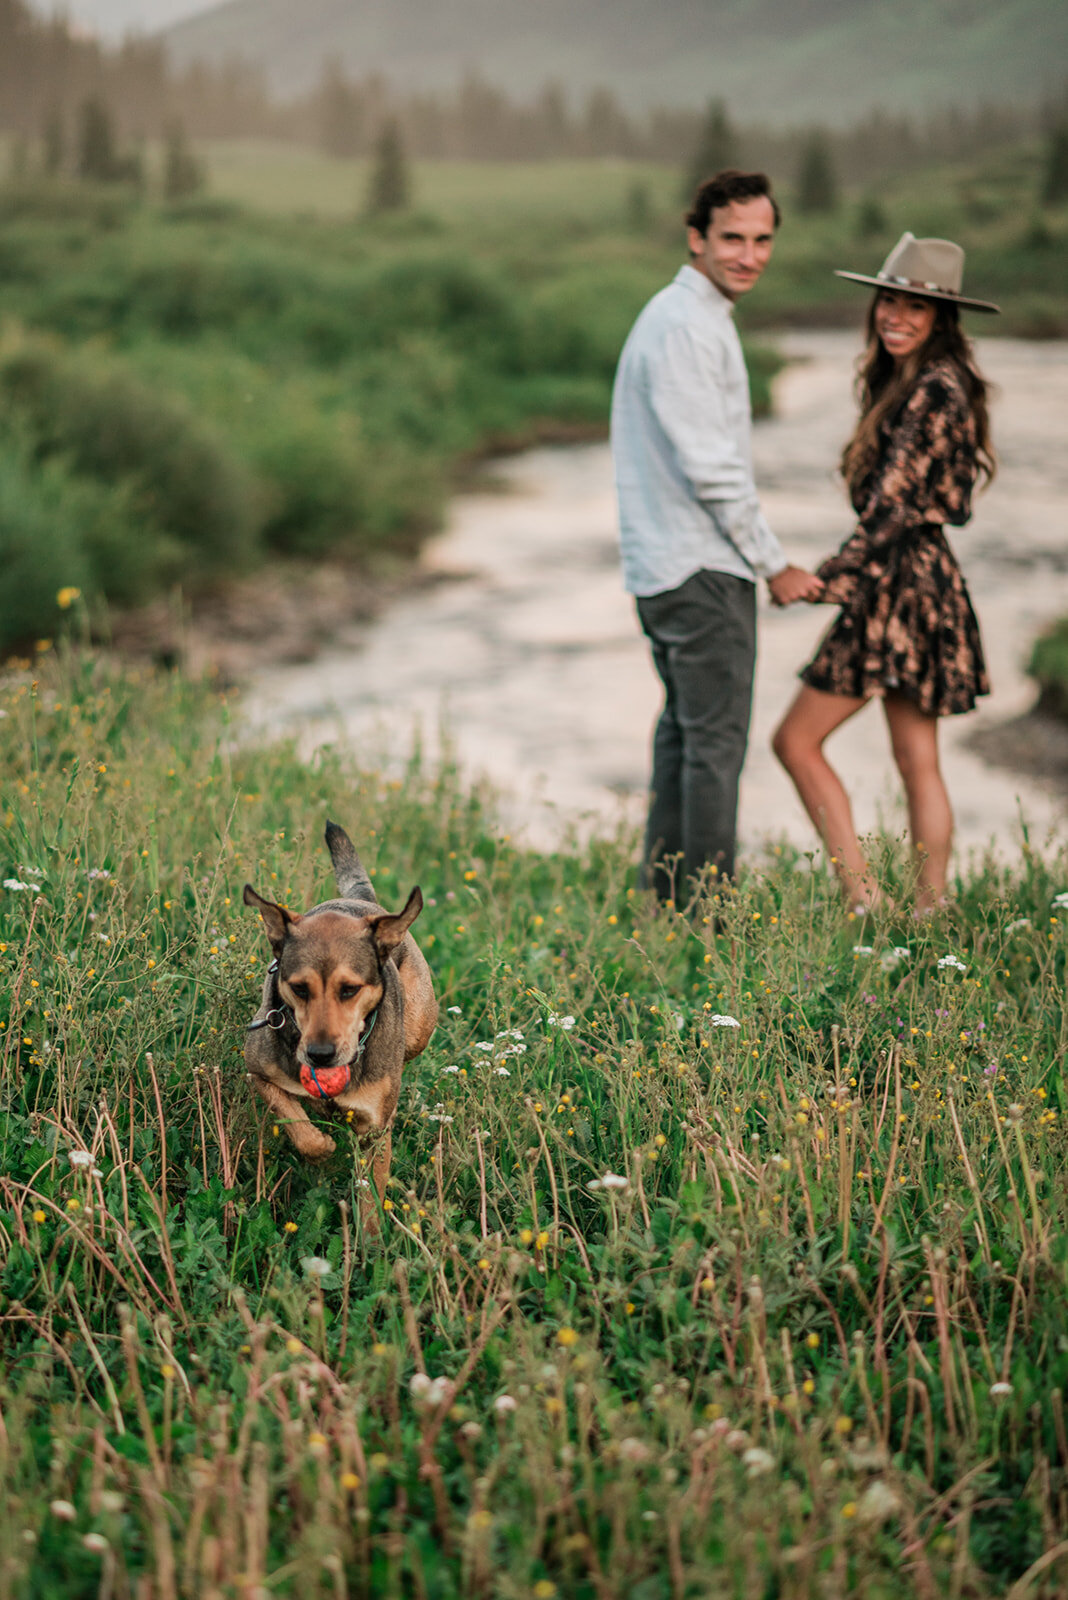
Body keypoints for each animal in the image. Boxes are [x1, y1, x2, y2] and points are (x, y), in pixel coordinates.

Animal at [244, 825, 434, 1203]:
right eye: (300, 988)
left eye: (349, 989)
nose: (320, 1055)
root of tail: (366, 902)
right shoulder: (257, 1071)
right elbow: (292, 1117)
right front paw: (322, 1150)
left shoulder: (374, 1131)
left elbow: (372, 1196)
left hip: (419, 1026)